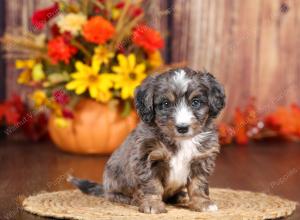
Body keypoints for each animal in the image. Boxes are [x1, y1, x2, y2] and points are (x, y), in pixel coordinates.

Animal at [69, 68, 225, 214]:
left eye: (196, 102)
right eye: (165, 104)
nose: (182, 127)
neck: (180, 141)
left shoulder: (201, 159)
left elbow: (199, 185)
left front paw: (203, 203)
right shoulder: (147, 158)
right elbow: (152, 185)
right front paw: (152, 205)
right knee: (114, 195)